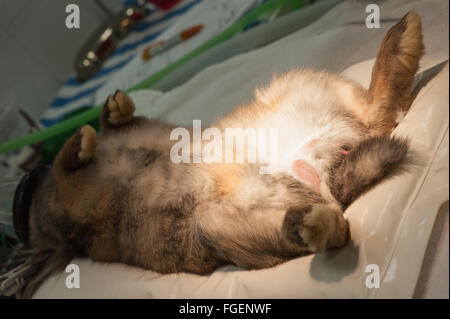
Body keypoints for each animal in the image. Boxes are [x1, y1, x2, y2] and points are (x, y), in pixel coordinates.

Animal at [19, 11, 424, 298]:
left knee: (379, 110)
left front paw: (113, 107)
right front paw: (89, 133)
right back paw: (311, 224)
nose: (25, 186)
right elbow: (68, 164)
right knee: (337, 223)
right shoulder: (77, 202)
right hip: (222, 229)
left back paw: (403, 37)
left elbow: (108, 132)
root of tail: (320, 165)